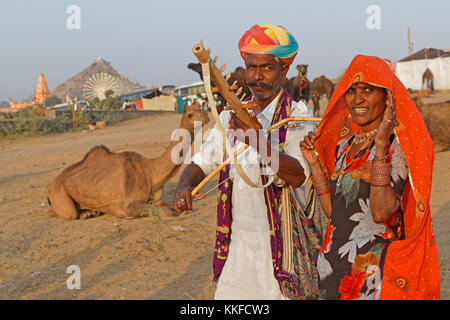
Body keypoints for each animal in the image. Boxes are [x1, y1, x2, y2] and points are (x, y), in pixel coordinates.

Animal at [44, 105, 210, 220]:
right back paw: (84, 213)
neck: (151, 170)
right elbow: (165, 212)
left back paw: (91, 212)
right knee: (66, 212)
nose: (206, 116)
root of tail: (50, 185)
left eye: (200, 108)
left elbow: (169, 205)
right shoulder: (130, 205)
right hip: (59, 193)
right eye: (190, 114)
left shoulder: (157, 200)